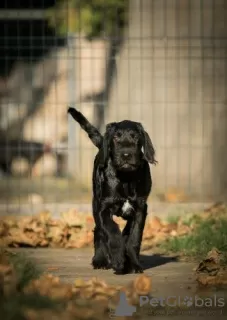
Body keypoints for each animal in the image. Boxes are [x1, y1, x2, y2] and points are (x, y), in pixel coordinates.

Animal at [67, 107, 156, 276]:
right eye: (116, 137)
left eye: (136, 137)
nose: (126, 155)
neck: (126, 177)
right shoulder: (103, 208)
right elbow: (112, 232)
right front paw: (118, 259)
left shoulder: (141, 208)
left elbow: (134, 238)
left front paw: (134, 264)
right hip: (95, 203)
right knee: (99, 231)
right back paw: (100, 260)